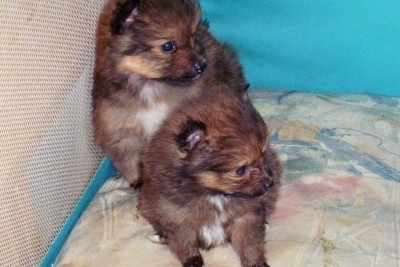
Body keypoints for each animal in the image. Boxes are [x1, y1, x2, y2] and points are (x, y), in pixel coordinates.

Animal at [92, 0, 247, 187]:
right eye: (168, 46)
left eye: (193, 36)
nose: (202, 65)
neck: (152, 86)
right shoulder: (120, 130)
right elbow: (128, 159)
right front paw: (138, 180)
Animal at [138, 88, 282, 267]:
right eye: (240, 171)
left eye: (263, 155)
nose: (270, 183)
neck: (214, 193)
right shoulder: (177, 217)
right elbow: (183, 241)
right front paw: (191, 259)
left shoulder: (246, 216)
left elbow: (250, 242)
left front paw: (256, 262)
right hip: (147, 204)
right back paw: (160, 236)